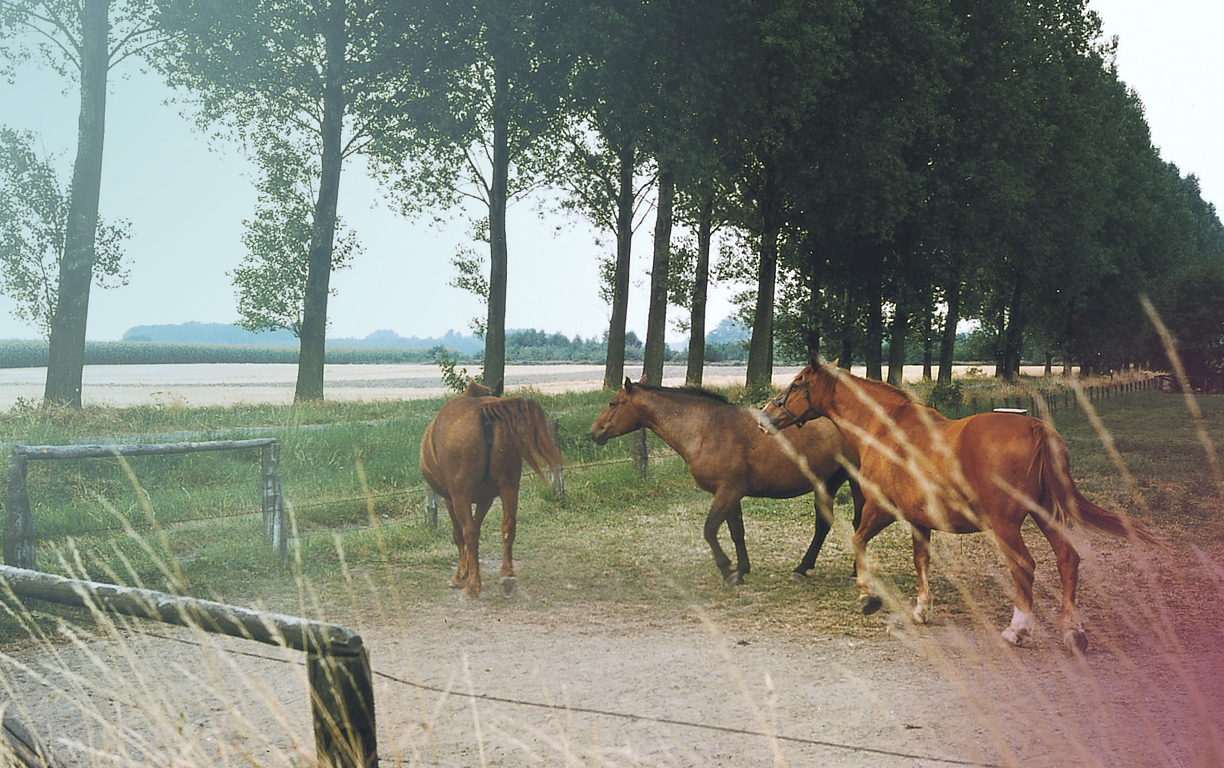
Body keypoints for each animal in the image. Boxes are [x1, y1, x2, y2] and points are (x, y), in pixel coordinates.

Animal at [416, 382, 560, 600]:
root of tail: (484, 409)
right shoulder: (487, 499)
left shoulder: (452, 499)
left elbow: (460, 534)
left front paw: (461, 575)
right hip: (509, 487)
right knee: (508, 525)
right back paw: (507, 577)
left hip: (461, 496)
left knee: (469, 532)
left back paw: (473, 587)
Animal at [589, 379, 861, 587]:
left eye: (613, 403)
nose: (593, 432)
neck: (707, 428)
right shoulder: (731, 494)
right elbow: (736, 532)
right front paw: (741, 570)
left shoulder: (727, 492)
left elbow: (710, 531)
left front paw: (727, 570)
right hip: (827, 483)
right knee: (823, 525)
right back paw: (802, 568)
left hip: (857, 482)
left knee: (859, 524)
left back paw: (854, 573)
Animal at [763, 352, 1155, 651]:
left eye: (797, 382)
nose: (767, 414)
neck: (885, 429)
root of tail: (1036, 429)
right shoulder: (919, 521)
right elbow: (920, 561)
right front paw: (921, 609)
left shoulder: (880, 509)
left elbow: (858, 542)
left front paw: (867, 597)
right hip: (1045, 515)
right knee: (1067, 560)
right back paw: (1073, 632)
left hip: (1007, 525)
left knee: (1024, 567)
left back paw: (1017, 630)